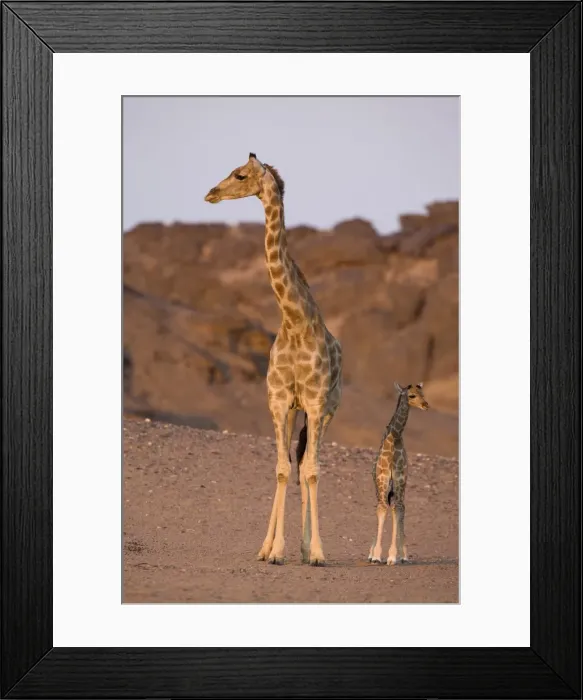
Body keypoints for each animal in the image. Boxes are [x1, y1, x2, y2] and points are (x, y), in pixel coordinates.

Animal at [204, 153, 342, 566]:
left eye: (240, 175)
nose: (211, 193)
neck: (295, 321)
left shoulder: (315, 402)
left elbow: (311, 469)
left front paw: (316, 552)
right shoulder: (279, 400)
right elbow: (282, 469)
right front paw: (274, 550)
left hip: (326, 410)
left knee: (309, 464)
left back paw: (307, 547)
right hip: (294, 410)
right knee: (293, 463)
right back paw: (273, 547)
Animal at [368, 382, 429, 565]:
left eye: (423, 393)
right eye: (411, 395)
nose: (426, 405)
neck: (394, 437)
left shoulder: (400, 479)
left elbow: (398, 509)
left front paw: (394, 556)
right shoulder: (382, 479)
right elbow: (382, 509)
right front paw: (376, 555)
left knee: (400, 507)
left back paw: (403, 555)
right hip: (380, 486)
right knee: (381, 506)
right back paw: (371, 553)